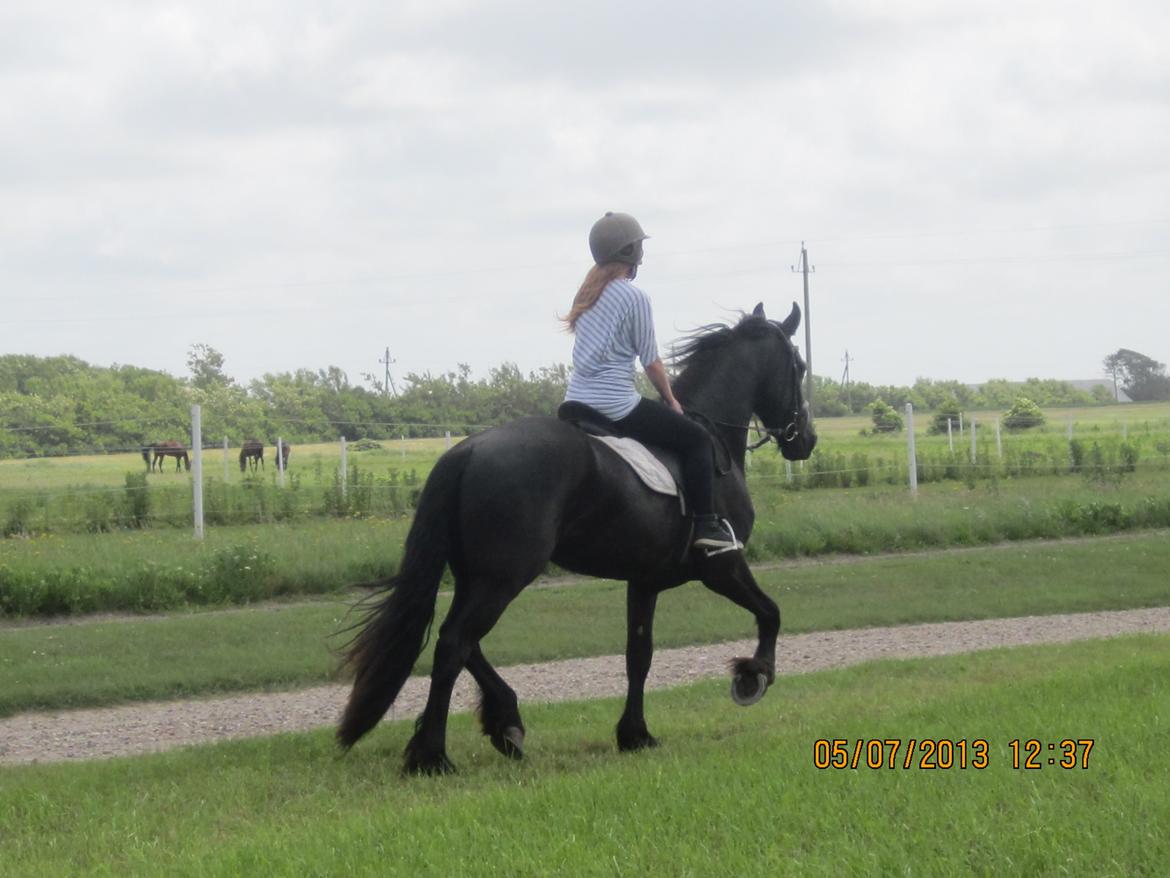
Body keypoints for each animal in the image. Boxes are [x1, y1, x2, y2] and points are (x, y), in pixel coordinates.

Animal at [336, 304, 814, 777]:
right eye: (800, 366)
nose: (806, 441)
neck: (712, 439)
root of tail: (467, 451)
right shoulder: (722, 567)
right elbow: (771, 612)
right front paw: (753, 676)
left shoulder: (645, 582)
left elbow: (639, 654)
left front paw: (635, 734)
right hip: (503, 577)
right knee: (454, 643)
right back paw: (432, 755)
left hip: (478, 576)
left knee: (463, 641)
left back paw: (505, 723)